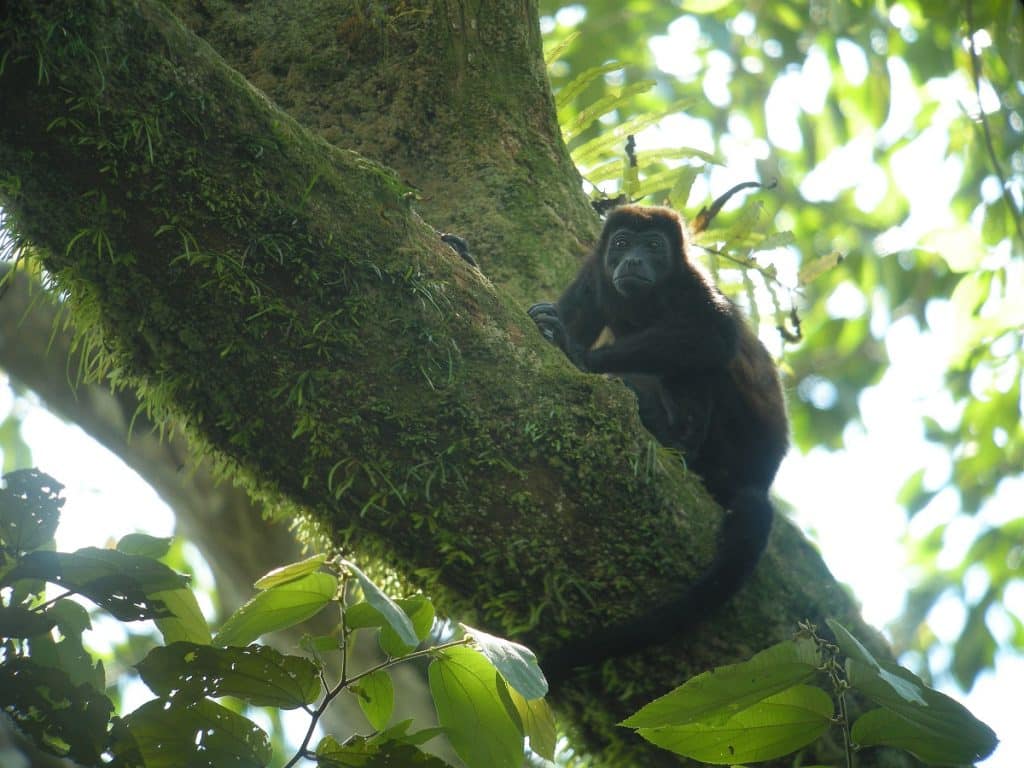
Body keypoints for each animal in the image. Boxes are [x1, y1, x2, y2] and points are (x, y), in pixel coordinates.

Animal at [532, 202, 786, 679]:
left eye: (653, 246)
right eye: (621, 243)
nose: (633, 260)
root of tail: (761, 478)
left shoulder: (693, 289)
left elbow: (716, 337)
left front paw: (578, 352)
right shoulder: (595, 272)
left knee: (704, 366)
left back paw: (673, 438)